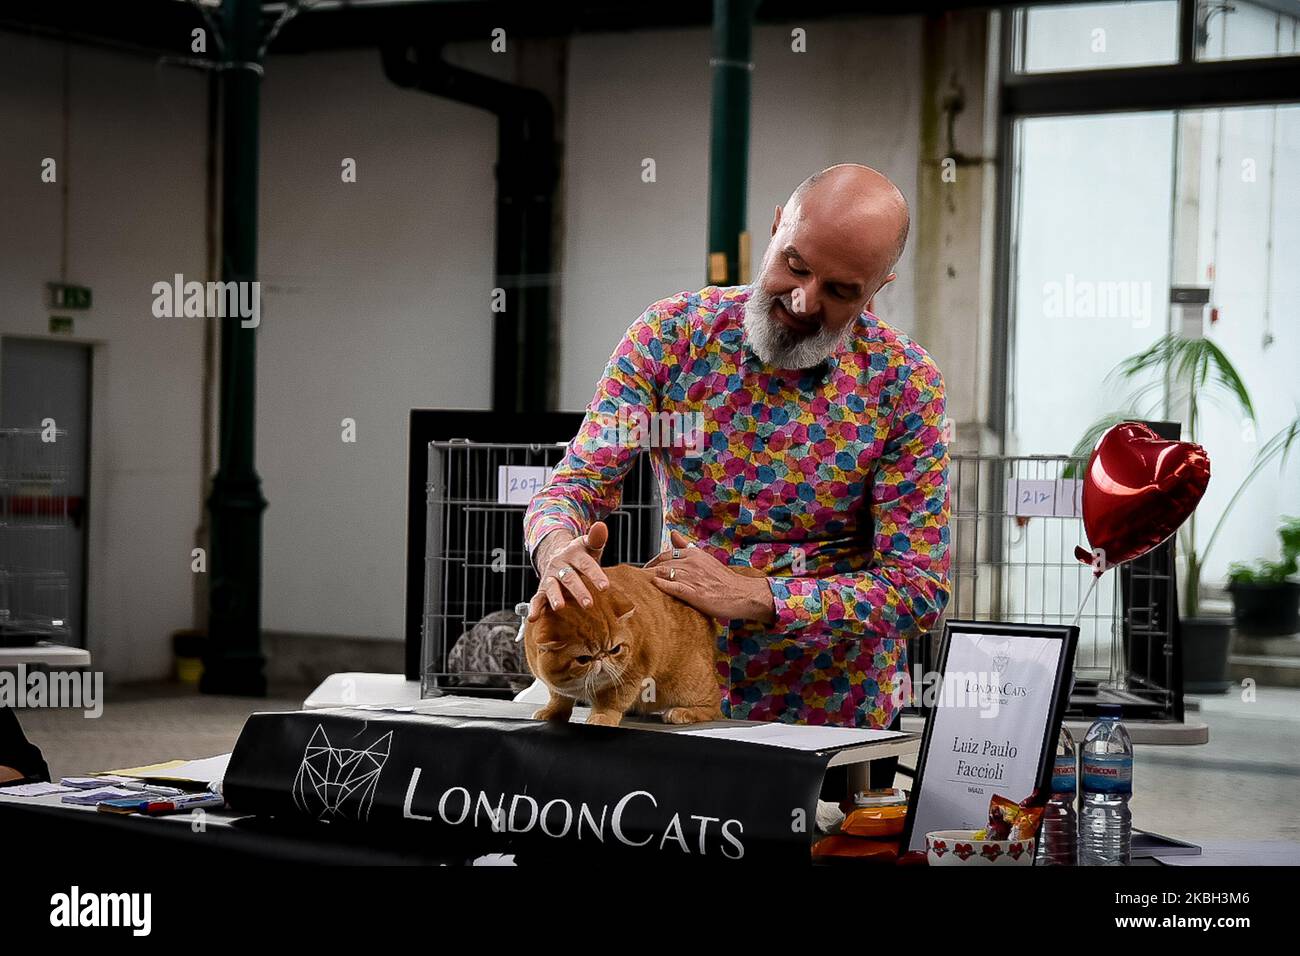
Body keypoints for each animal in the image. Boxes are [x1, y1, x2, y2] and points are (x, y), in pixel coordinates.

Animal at [520, 564, 759, 728]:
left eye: (614, 650)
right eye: (584, 659)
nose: (602, 658)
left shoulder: (631, 675)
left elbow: (611, 702)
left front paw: (602, 716)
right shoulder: (556, 686)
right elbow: (558, 698)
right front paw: (552, 712)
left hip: (689, 683)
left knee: (713, 707)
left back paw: (682, 712)